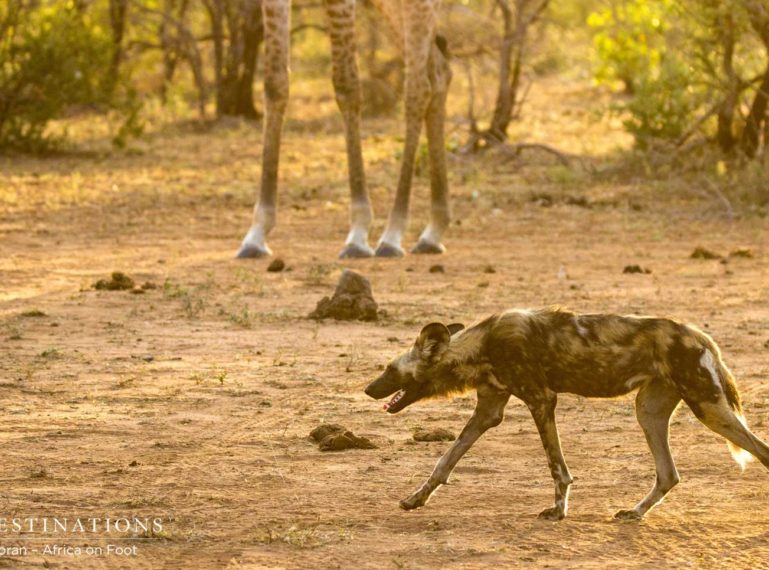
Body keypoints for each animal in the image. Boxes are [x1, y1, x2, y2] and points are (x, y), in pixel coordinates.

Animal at [362, 308, 768, 516]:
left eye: (389, 370)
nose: (368, 389)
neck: (480, 346)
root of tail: (700, 335)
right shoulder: (489, 409)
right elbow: (445, 460)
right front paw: (417, 498)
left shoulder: (541, 400)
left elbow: (557, 468)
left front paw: (558, 510)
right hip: (649, 412)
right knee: (669, 475)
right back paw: (634, 512)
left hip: (708, 407)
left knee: (760, 450)